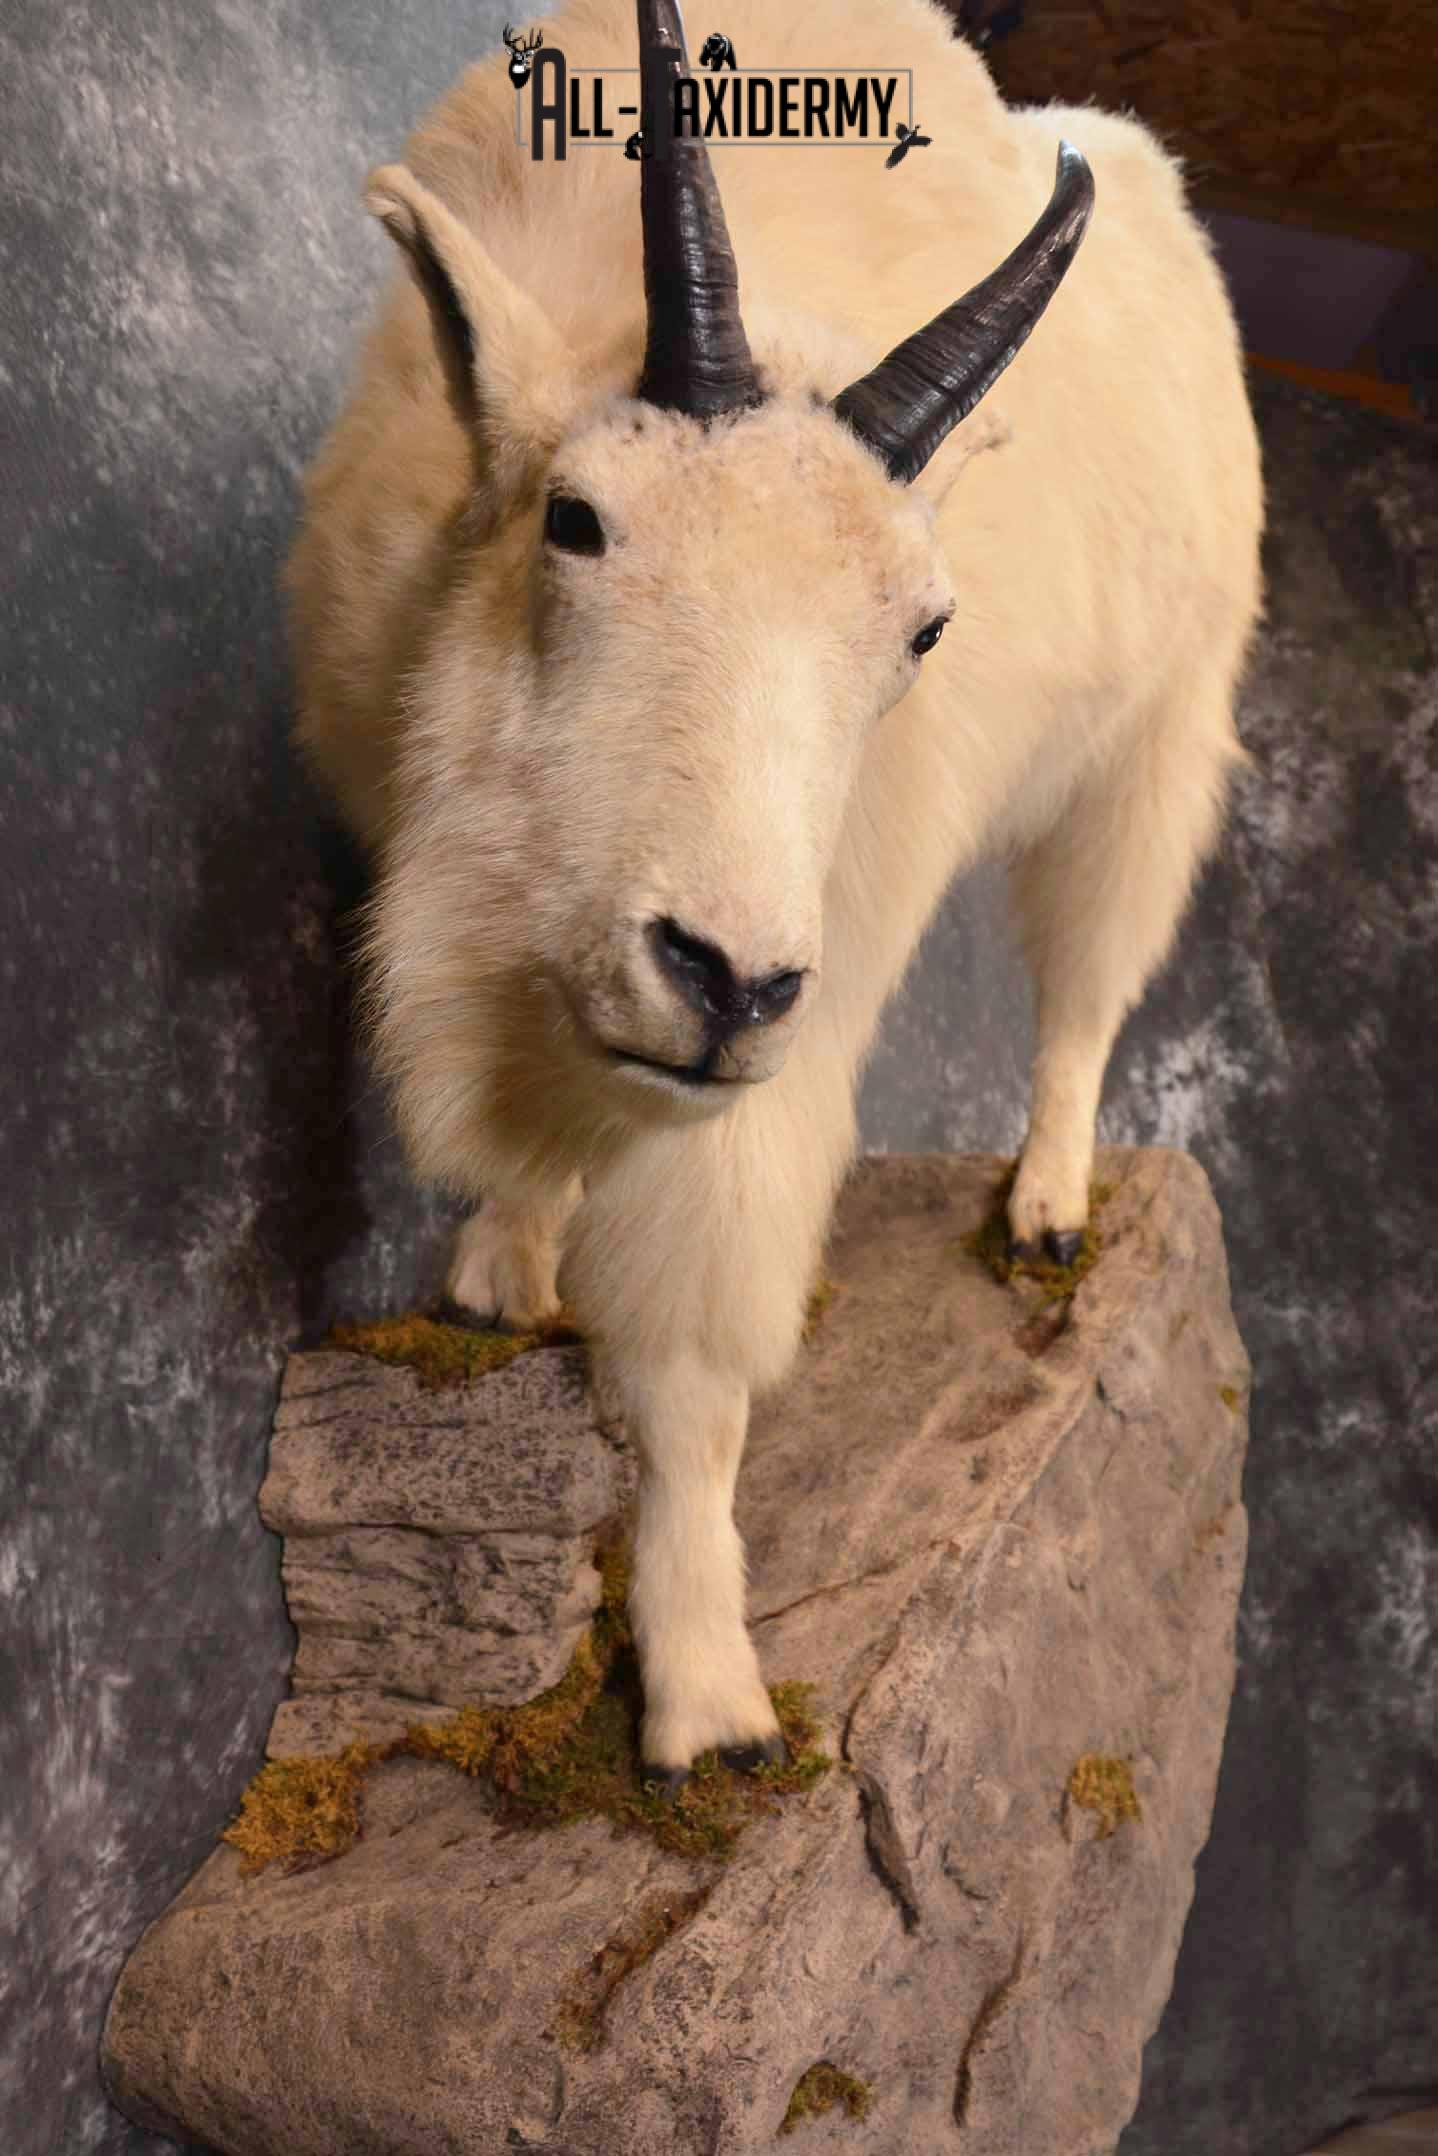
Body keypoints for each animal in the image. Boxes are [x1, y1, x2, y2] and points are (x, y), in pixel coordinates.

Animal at [285, 0, 1263, 1789]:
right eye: (577, 520)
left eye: (922, 629)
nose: (721, 983)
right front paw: (503, 1266)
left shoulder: (776, 1045)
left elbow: (690, 1359)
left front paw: (708, 1700)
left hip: (1155, 735)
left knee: (1088, 980)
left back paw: (1047, 1205)